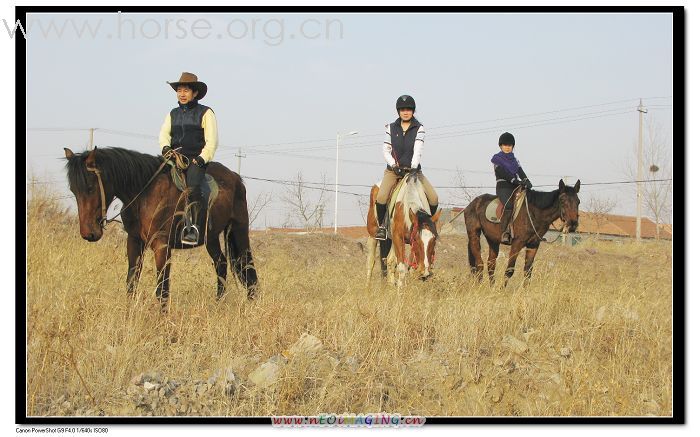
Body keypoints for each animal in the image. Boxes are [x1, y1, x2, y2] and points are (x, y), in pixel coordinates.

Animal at [63, 146, 258, 306]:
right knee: (221, 264)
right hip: (210, 237)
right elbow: (131, 284)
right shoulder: (134, 242)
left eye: (90, 187)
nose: (89, 233)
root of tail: (235, 177)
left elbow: (162, 291)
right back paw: (219, 304)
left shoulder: (161, 246)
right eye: (73, 190)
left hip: (239, 230)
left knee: (247, 268)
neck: (144, 194)